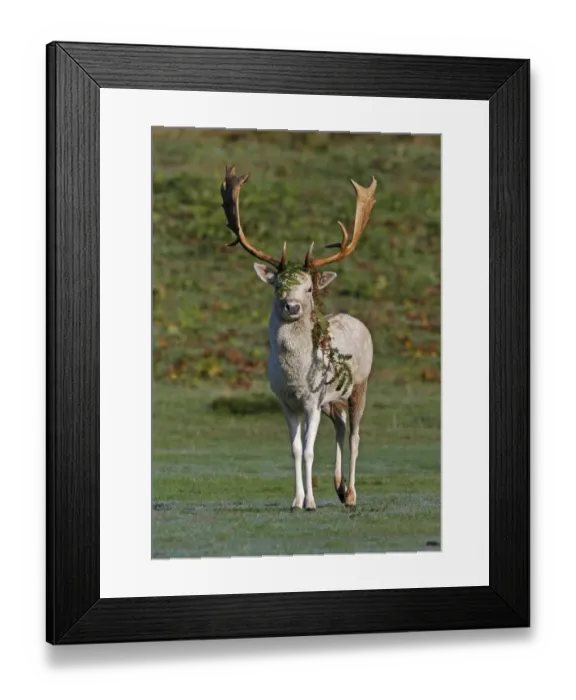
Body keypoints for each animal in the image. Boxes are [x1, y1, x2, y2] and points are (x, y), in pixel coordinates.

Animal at [220, 165, 377, 511]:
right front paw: (296, 499)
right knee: (341, 425)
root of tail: (359, 322)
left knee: (356, 435)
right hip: (332, 399)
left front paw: (311, 503)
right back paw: (339, 487)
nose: (291, 306)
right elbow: (294, 449)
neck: (294, 375)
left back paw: (352, 494)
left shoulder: (311, 400)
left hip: (359, 384)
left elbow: (308, 450)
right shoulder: (286, 401)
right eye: (278, 286)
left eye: (308, 288)